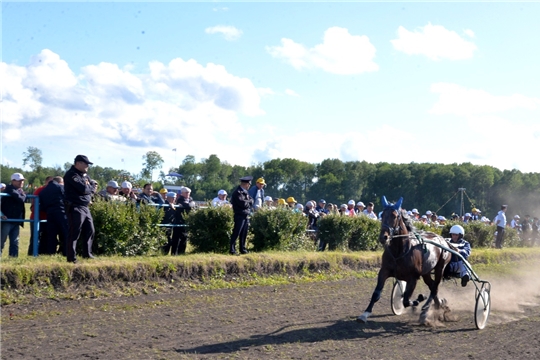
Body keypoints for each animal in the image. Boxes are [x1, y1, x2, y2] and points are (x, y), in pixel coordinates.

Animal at [358, 195, 452, 324]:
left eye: (394, 216)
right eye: (382, 215)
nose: (383, 237)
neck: (399, 252)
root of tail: (443, 240)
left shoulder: (413, 278)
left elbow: (406, 300)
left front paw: (419, 299)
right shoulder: (384, 271)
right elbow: (376, 294)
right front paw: (365, 314)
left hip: (440, 268)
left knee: (435, 287)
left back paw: (426, 308)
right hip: (426, 272)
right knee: (432, 285)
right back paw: (438, 305)